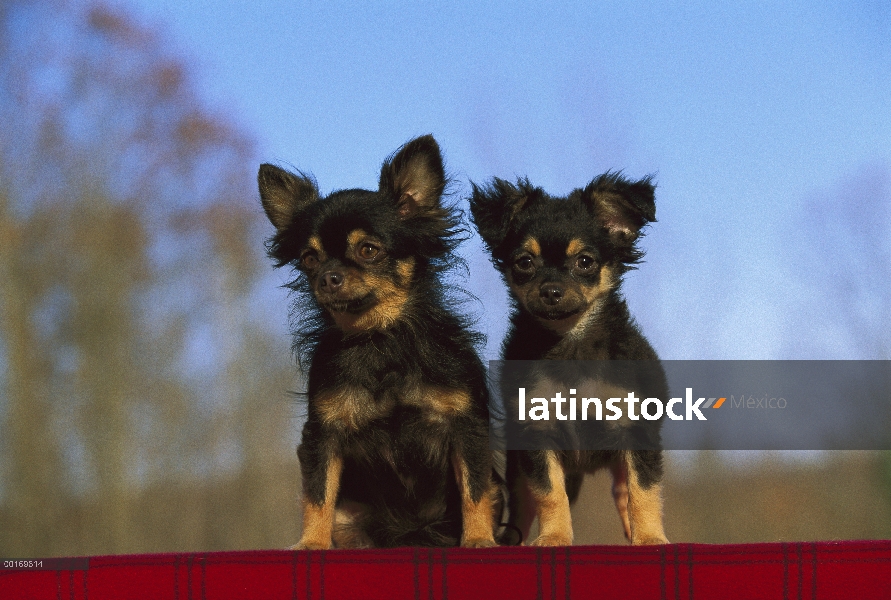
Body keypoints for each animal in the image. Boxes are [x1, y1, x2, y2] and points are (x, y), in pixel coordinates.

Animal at [258, 135, 502, 548]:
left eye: (368, 250)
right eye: (309, 259)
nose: (328, 277)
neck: (379, 338)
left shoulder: (466, 426)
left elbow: (475, 489)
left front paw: (479, 540)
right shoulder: (323, 434)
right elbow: (318, 494)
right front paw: (311, 543)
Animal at [466, 173, 668, 548]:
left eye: (585, 262)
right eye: (524, 262)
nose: (551, 291)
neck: (569, 340)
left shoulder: (637, 430)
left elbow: (643, 490)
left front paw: (649, 538)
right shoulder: (536, 434)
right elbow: (549, 494)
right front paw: (555, 537)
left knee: (623, 490)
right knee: (523, 505)